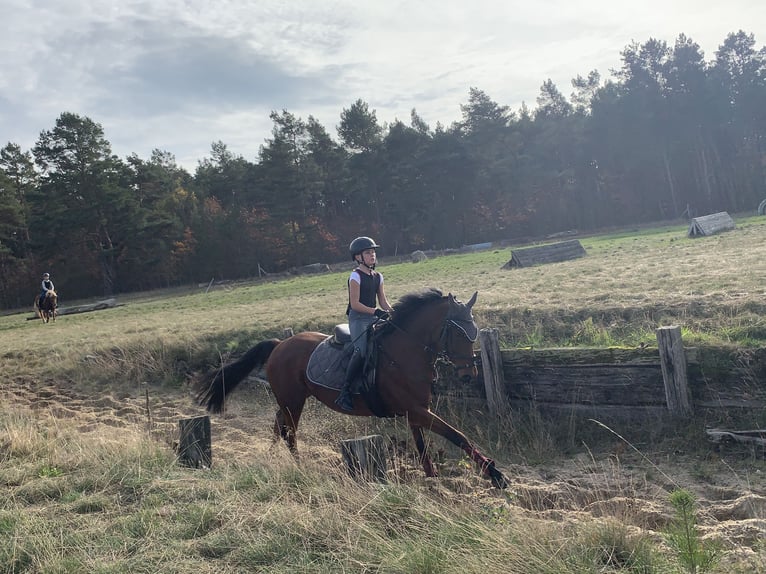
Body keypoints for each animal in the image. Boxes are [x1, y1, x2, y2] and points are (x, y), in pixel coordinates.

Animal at [195, 290, 510, 488]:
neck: (406, 352)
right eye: (457, 331)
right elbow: (457, 436)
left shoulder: (416, 410)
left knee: (278, 425)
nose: (469, 374)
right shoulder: (417, 410)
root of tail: (279, 344)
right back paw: (298, 465)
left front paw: (432, 479)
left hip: (289, 399)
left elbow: (422, 446)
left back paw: (272, 458)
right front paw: (495, 474)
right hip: (293, 400)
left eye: (474, 331)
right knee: (290, 432)